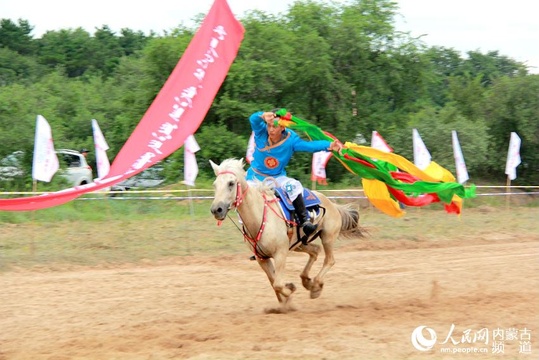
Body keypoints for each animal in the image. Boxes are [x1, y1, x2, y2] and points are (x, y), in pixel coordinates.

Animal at [210, 158, 362, 312]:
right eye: (215, 184)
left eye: (231, 183)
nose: (217, 209)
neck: (259, 216)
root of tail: (332, 203)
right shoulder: (262, 258)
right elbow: (273, 281)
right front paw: (284, 302)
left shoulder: (280, 253)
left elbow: (277, 284)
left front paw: (290, 290)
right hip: (299, 244)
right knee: (315, 251)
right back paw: (307, 281)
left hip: (327, 237)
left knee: (329, 260)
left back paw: (315, 286)